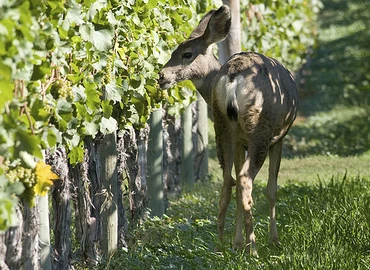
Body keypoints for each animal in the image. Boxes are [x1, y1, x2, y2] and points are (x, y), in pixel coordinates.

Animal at [158, 4, 300, 253]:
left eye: (186, 53)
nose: (161, 76)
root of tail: (233, 77)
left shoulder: (239, 139)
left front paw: (237, 242)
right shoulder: (279, 137)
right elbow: (272, 189)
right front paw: (273, 240)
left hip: (222, 124)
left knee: (228, 181)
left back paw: (221, 244)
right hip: (260, 127)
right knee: (244, 180)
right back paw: (254, 247)